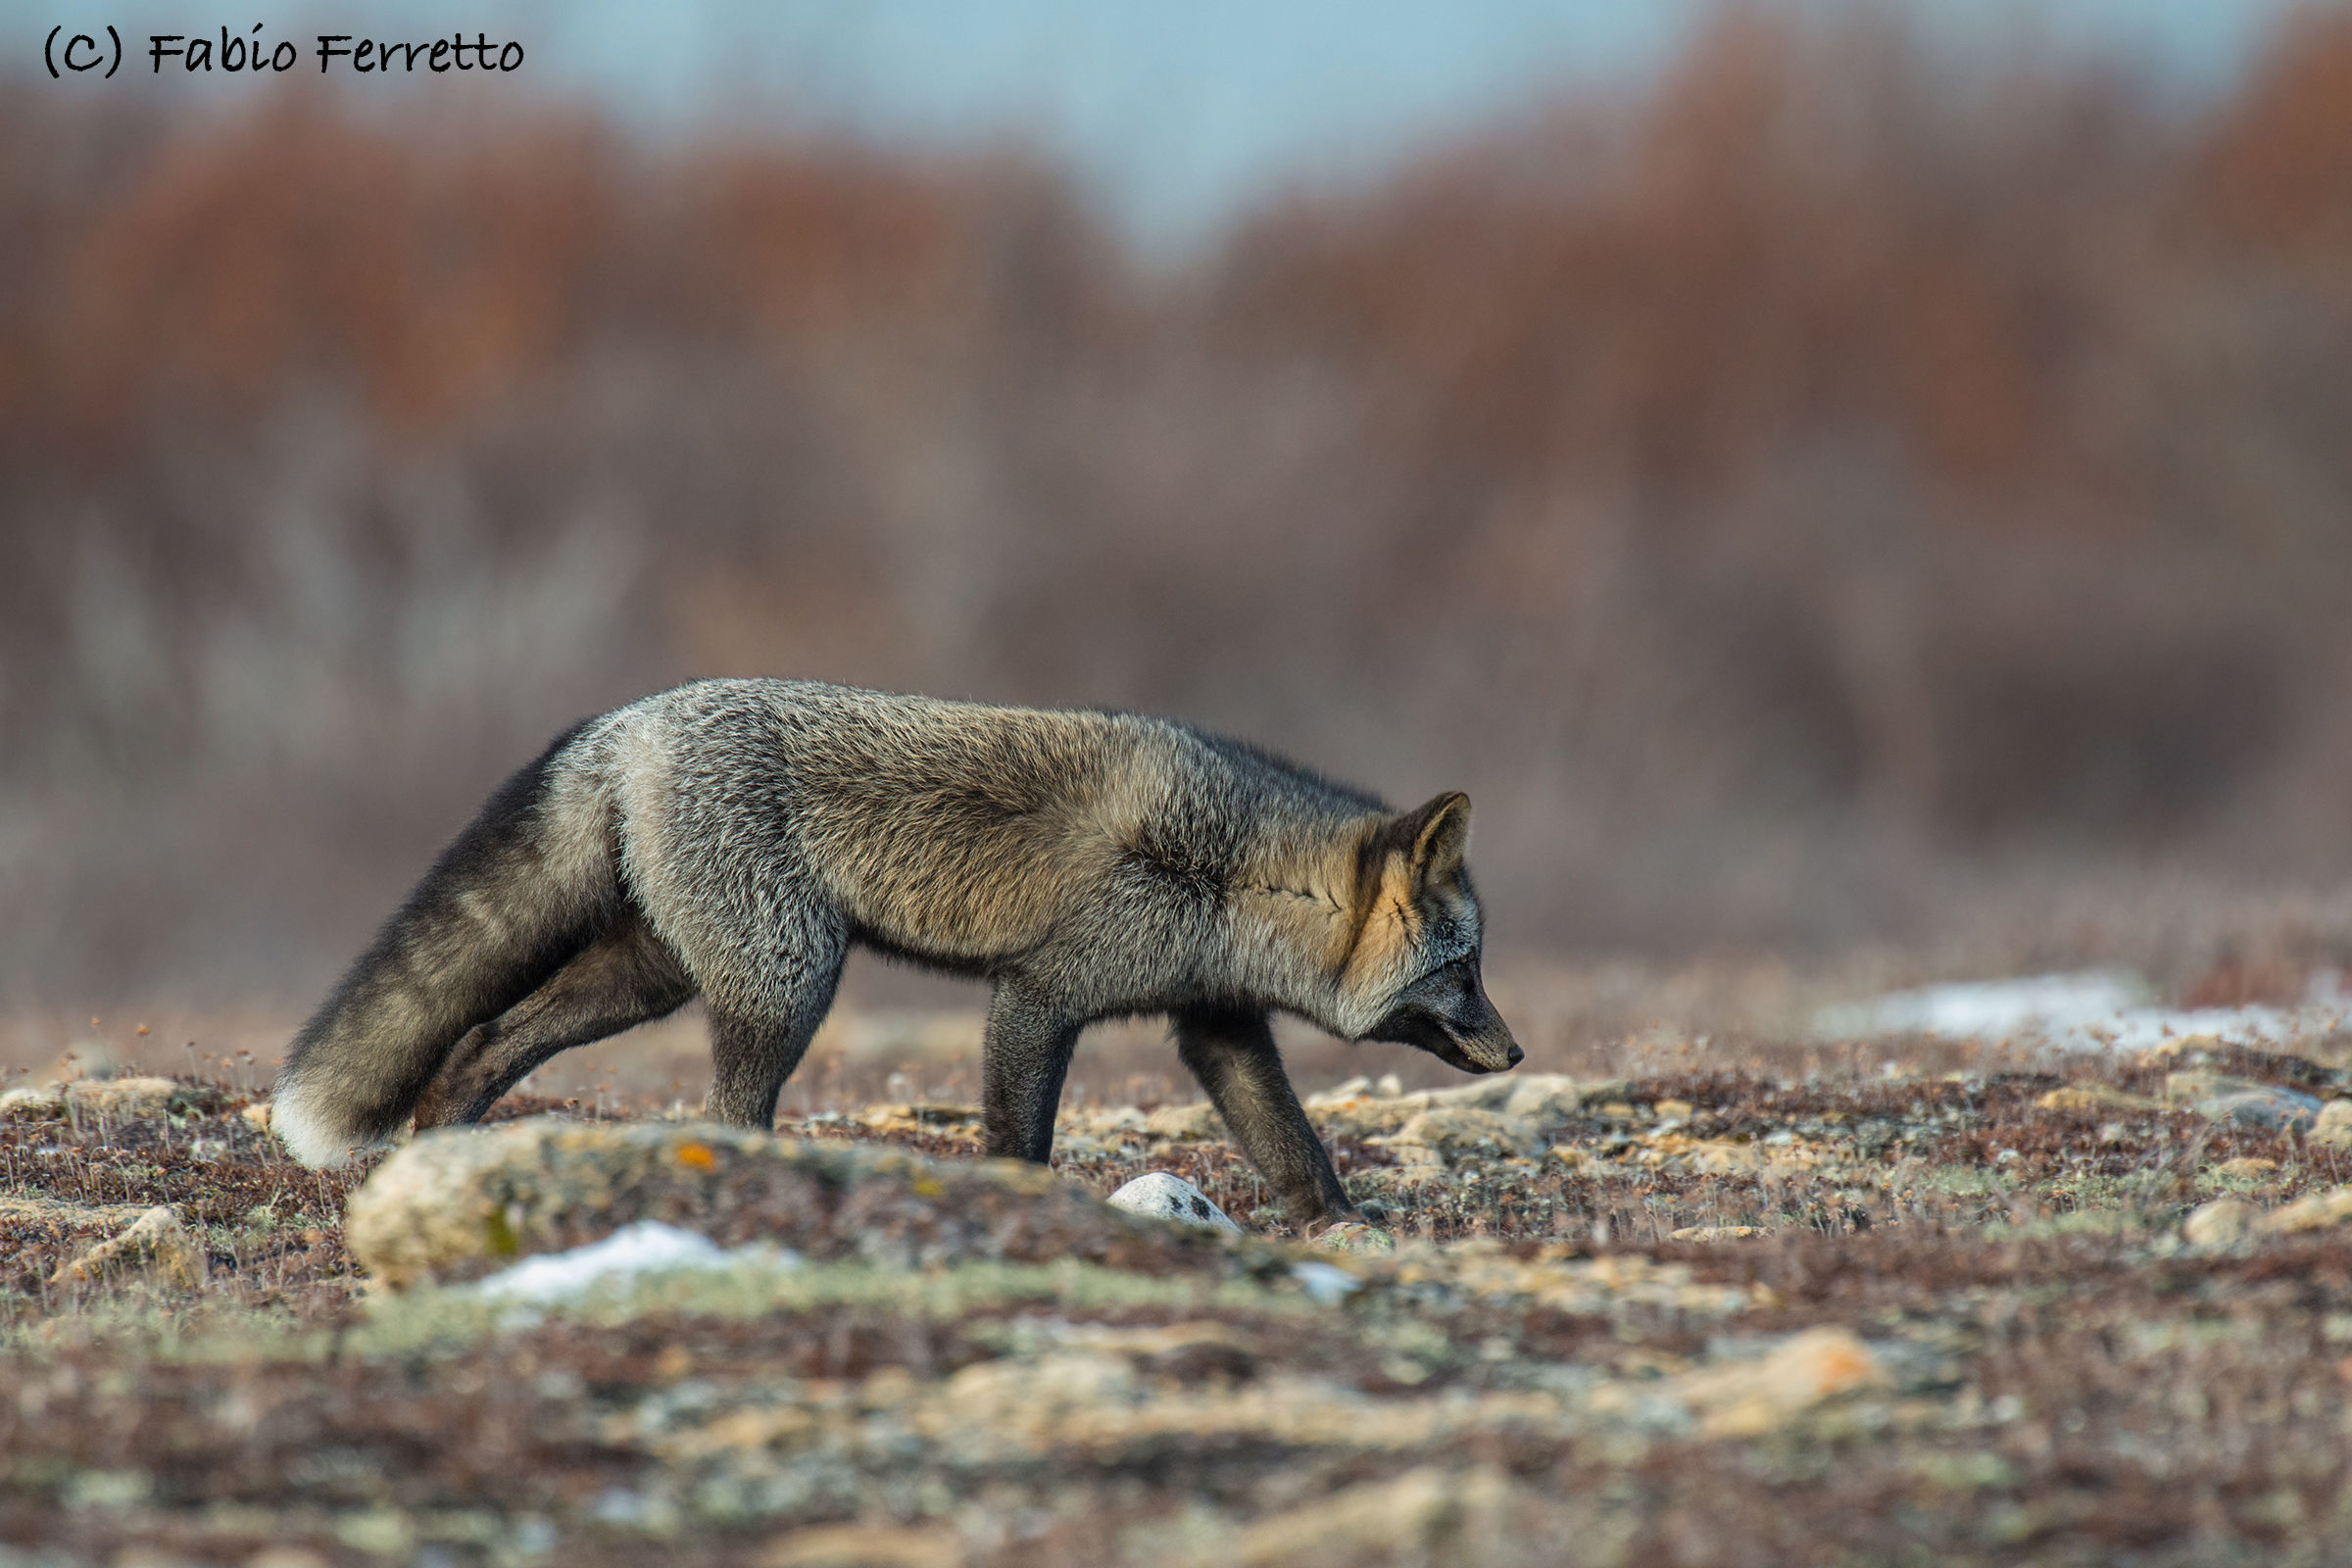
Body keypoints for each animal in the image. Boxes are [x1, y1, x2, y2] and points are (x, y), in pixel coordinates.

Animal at [273, 678, 1518, 1228]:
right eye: (1463, 970)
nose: (1513, 1055)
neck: (1232, 877)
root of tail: (629, 716)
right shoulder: (1037, 997)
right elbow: (1020, 1141)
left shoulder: (1215, 1026)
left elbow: (1294, 1145)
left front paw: (1346, 1232)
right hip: (786, 984)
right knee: (730, 1109)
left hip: (647, 979)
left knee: (483, 1040)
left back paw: (438, 1156)